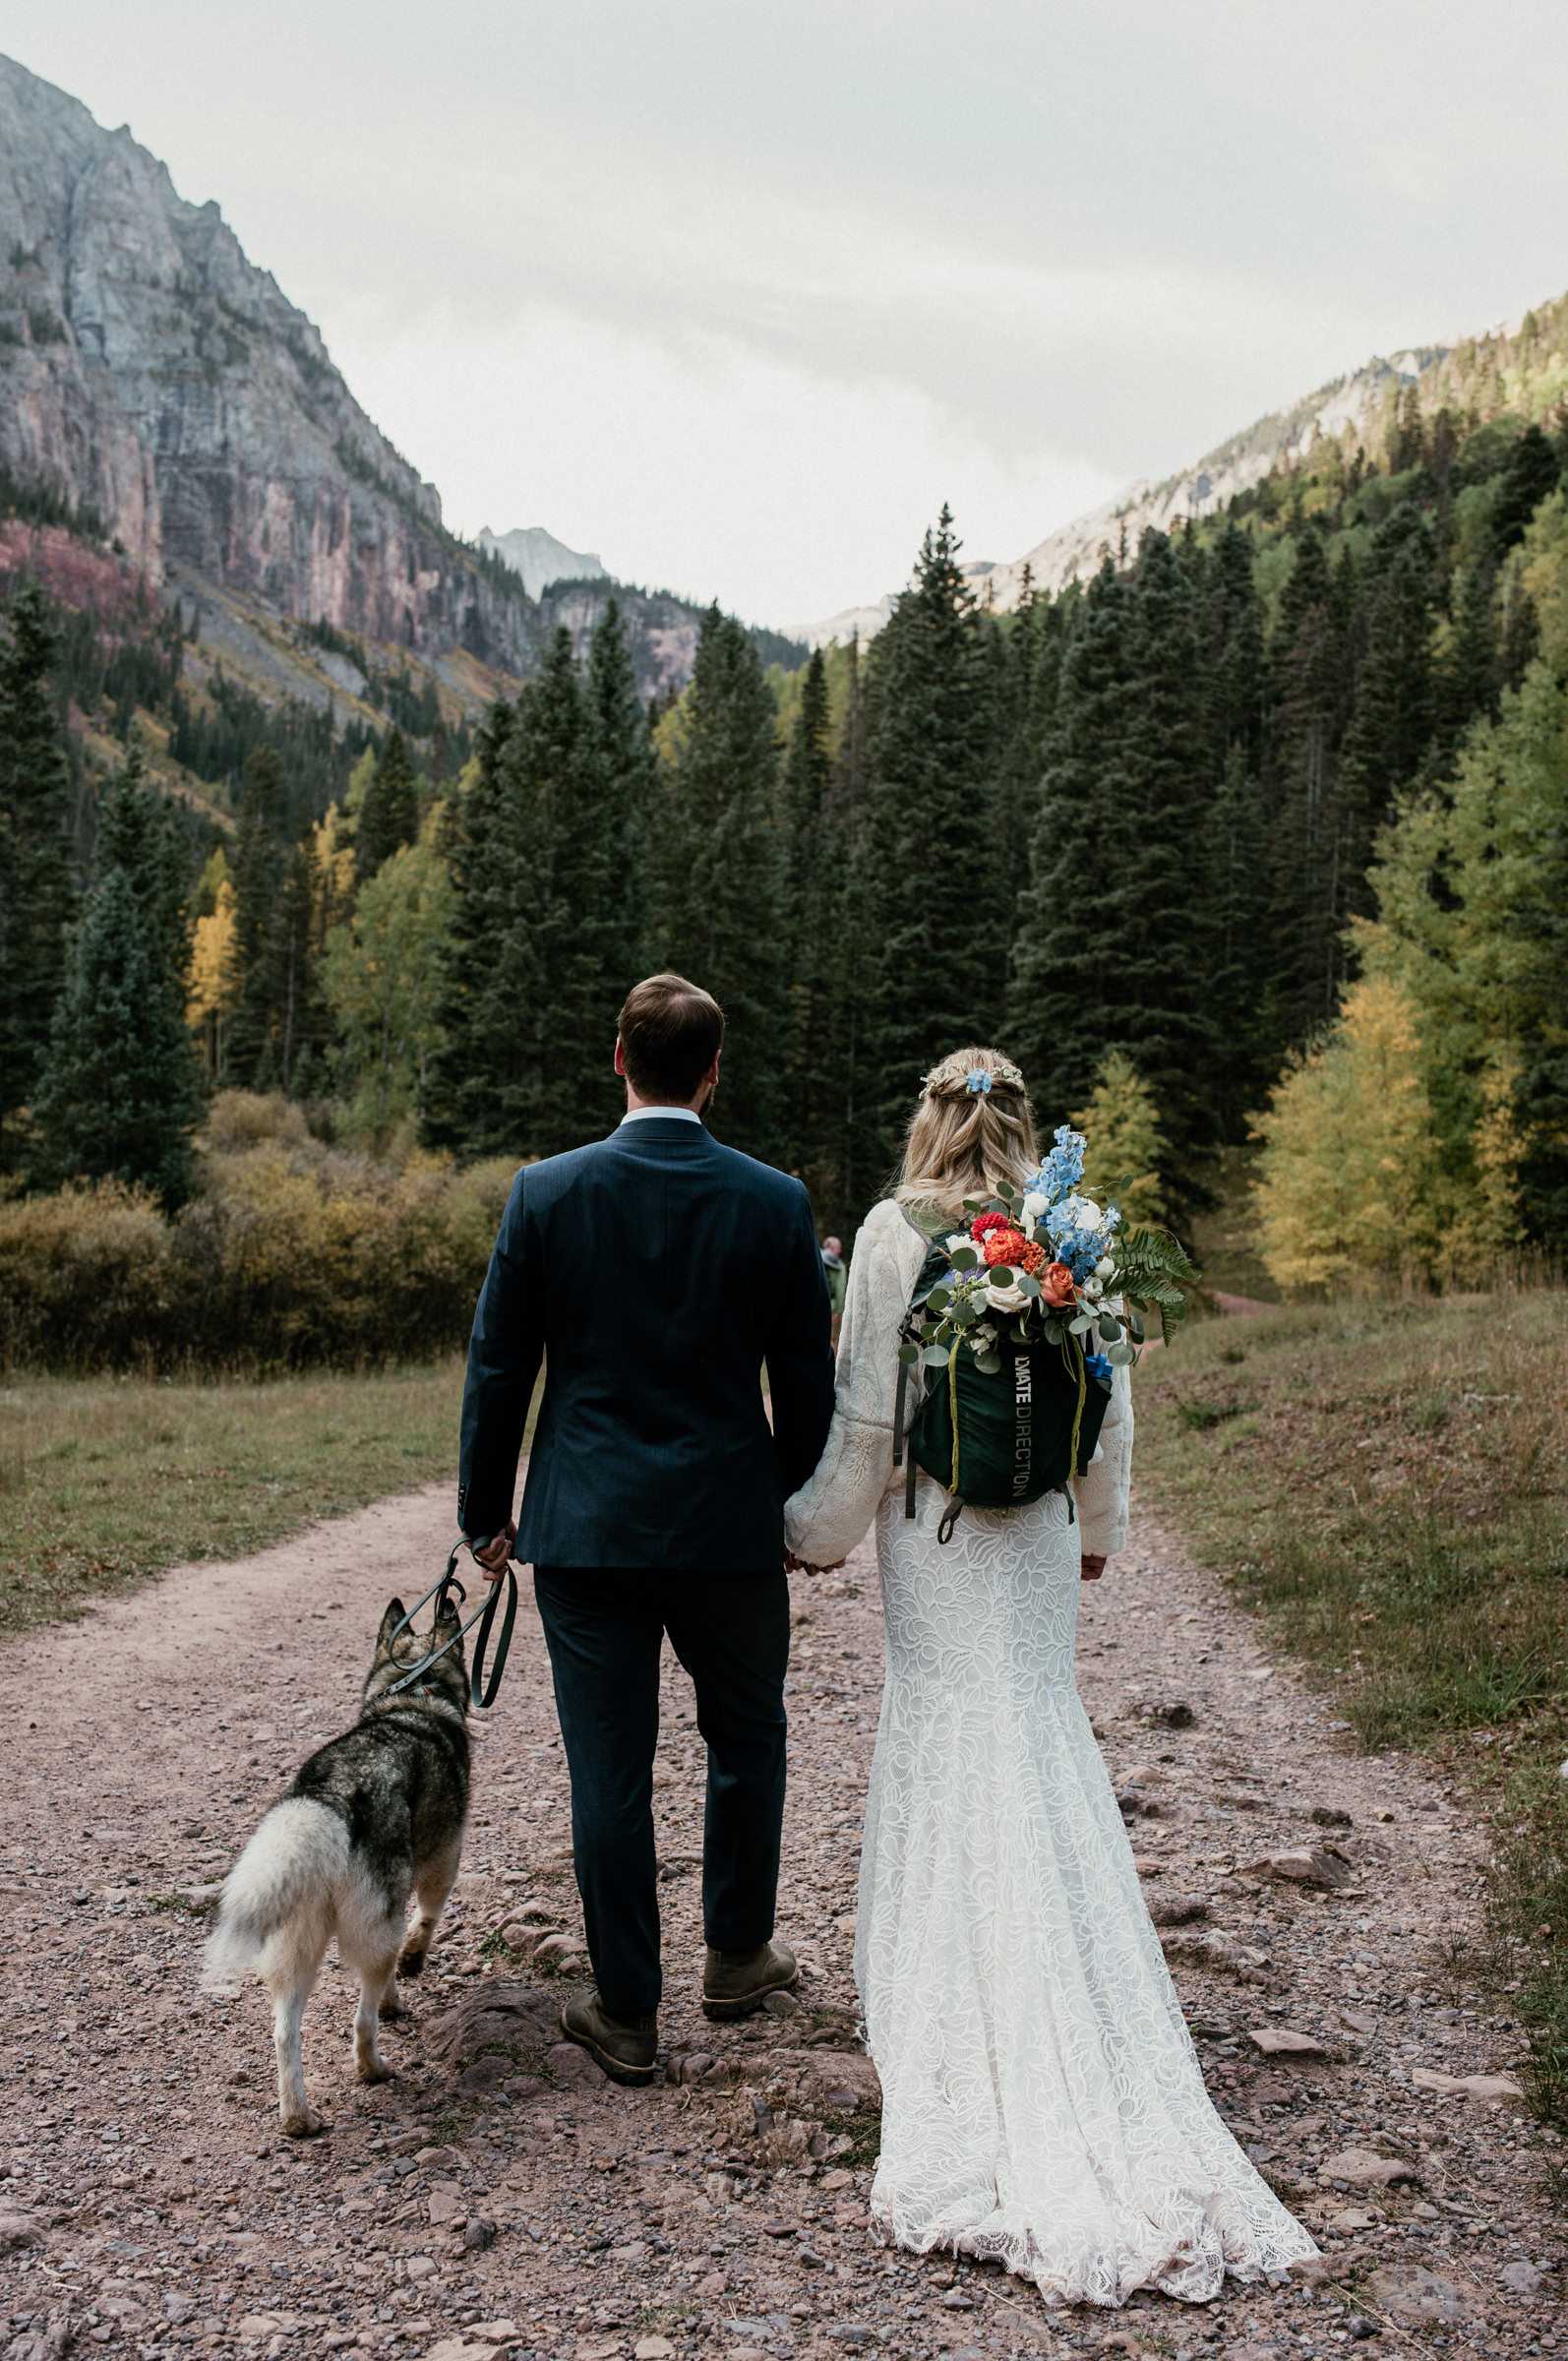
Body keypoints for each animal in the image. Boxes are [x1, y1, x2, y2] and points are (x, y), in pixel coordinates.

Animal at [199, 1596, 464, 2134]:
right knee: (362, 2019)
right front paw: (410, 1969)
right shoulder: (443, 1860)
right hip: (369, 1932)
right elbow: (426, 1921)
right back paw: (373, 2068)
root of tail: (328, 1800)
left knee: (284, 2033)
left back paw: (298, 2116)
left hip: (295, 1943)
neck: (417, 1693)